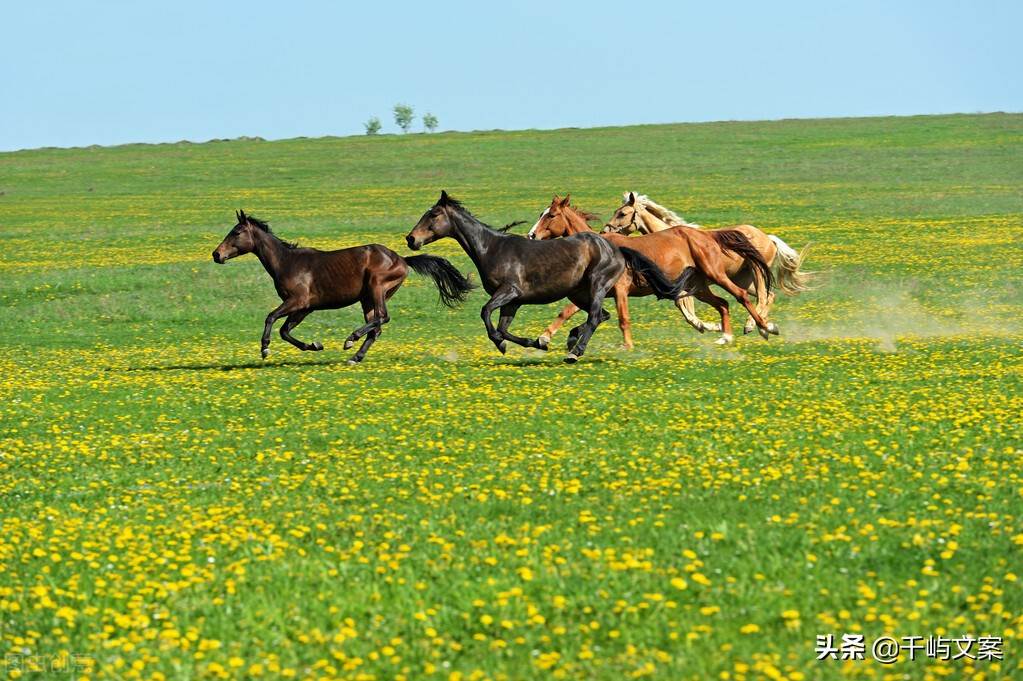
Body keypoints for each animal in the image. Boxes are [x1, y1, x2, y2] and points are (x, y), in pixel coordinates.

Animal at [214, 209, 474, 364]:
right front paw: (314, 345)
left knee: (382, 317)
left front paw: (264, 349)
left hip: (376, 287)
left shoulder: (297, 301)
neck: (287, 262)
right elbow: (285, 331)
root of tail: (402, 259)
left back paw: (351, 339)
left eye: (236, 232)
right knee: (376, 327)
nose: (216, 254)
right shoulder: (304, 308)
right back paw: (356, 356)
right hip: (367, 298)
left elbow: (270, 318)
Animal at [405, 188, 687, 364]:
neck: (491, 248)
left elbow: (486, 313)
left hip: (597, 286)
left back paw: (575, 352)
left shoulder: (509, 292)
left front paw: (500, 343)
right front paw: (535, 343)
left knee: (596, 316)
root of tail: (616, 248)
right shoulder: (513, 302)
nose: (410, 239)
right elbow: (504, 328)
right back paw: (572, 341)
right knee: (601, 315)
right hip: (579, 293)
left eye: (433, 214)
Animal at [531, 195, 777, 345]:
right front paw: (545, 337)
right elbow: (567, 312)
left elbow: (613, 317)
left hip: (720, 275)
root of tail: (707, 236)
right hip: (702, 285)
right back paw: (727, 336)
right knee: (728, 302)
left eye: (551, 215)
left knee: (746, 296)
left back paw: (765, 327)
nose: (532, 235)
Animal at [601, 192, 810, 335]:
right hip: (744, 280)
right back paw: (758, 325)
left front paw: (711, 326)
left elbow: (686, 309)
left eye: (622, 213)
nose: (604, 231)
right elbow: (685, 310)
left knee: (763, 296)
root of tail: (769, 238)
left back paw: (753, 325)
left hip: (755, 273)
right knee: (769, 295)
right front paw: (713, 326)